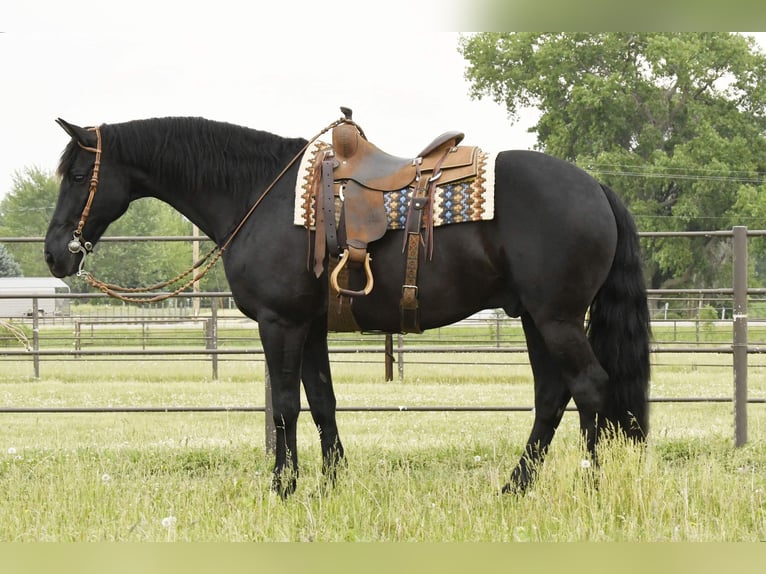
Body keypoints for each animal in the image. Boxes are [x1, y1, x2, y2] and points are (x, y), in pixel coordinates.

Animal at [45, 116, 652, 496]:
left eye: (77, 174)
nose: (54, 253)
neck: (258, 194)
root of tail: (596, 187)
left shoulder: (281, 324)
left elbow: (285, 407)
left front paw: (283, 488)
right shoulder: (311, 326)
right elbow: (322, 402)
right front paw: (331, 484)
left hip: (556, 319)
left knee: (589, 388)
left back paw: (590, 484)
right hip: (533, 318)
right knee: (552, 397)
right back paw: (514, 488)